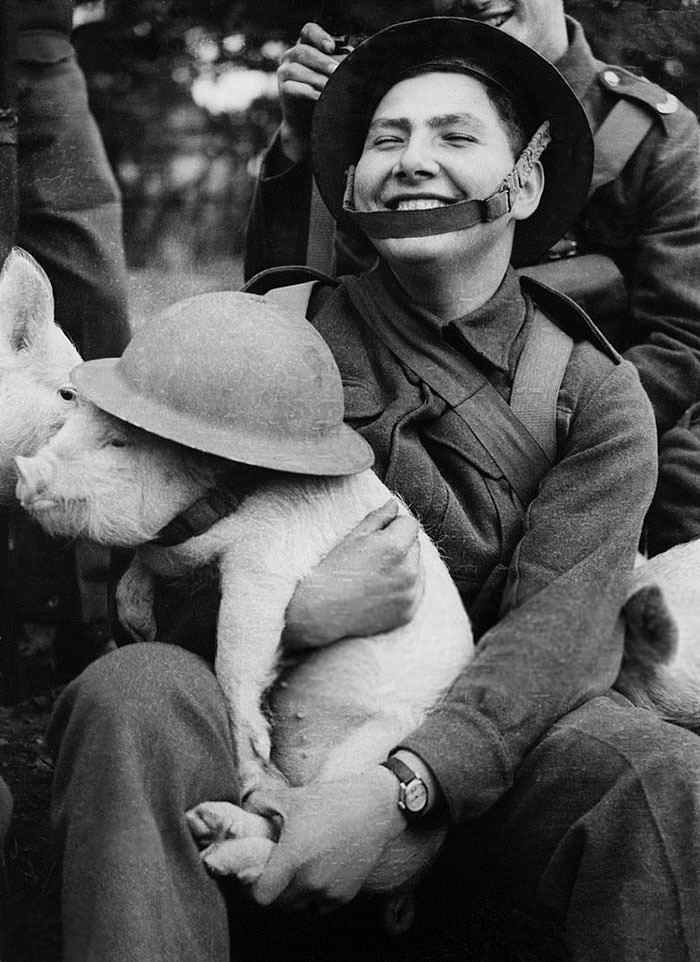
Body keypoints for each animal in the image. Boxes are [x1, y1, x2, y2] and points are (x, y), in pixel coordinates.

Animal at [16, 396, 474, 916]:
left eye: (118, 442)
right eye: (68, 423)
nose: (24, 470)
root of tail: (415, 873)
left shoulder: (263, 561)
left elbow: (237, 644)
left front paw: (254, 747)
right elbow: (139, 572)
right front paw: (139, 626)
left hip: (370, 753)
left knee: (299, 836)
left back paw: (220, 846)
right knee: (279, 818)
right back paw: (210, 822)